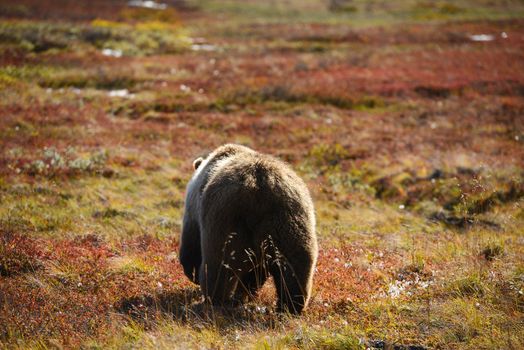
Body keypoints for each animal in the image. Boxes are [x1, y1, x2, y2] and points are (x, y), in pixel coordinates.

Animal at [180, 144, 318, 314]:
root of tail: (258, 187)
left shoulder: (195, 207)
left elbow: (191, 241)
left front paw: (192, 272)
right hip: (290, 219)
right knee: (295, 265)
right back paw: (290, 305)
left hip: (225, 220)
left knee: (219, 264)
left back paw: (214, 299)